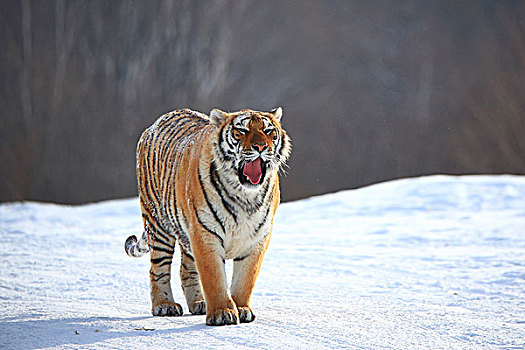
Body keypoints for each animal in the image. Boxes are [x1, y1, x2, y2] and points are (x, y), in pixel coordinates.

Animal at [125, 106, 292, 326]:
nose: (261, 147)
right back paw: (164, 305)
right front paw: (223, 313)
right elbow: (214, 278)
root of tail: (154, 125)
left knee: (186, 269)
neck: (244, 197)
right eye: (242, 131)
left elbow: (245, 279)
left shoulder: (257, 238)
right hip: (158, 225)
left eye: (269, 131)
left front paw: (241, 308)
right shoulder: (205, 235)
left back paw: (199, 303)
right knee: (158, 269)